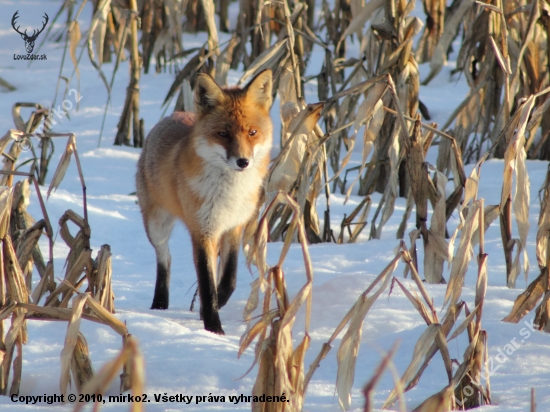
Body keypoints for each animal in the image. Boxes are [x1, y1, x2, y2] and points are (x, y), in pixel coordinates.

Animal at [136, 71, 274, 334]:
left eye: (252, 133)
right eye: (223, 134)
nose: (243, 162)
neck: (230, 193)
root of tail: (173, 115)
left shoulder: (234, 226)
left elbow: (229, 279)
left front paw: (211, 309)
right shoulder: (202, 230)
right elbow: (207, 286)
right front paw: (214, 329)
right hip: (157, 225)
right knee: (165, 257)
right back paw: (160, 304)